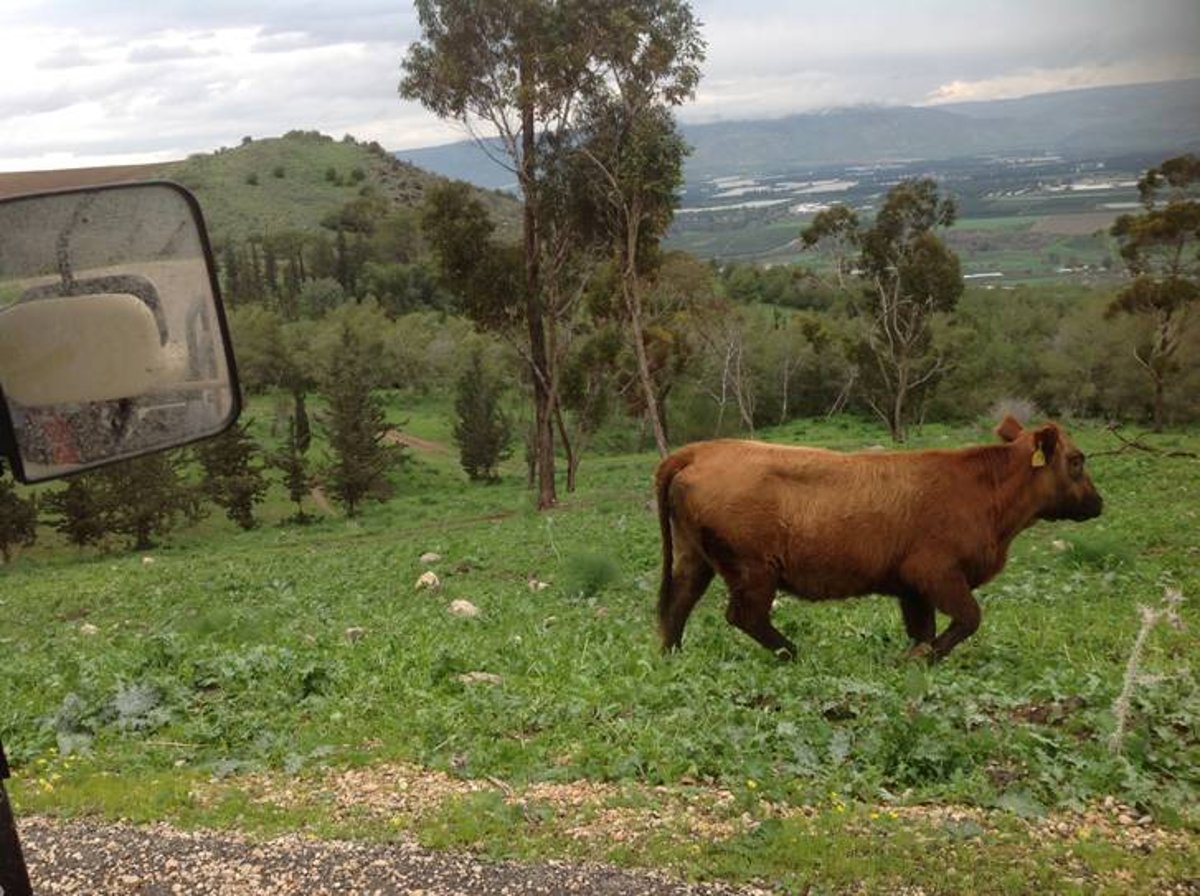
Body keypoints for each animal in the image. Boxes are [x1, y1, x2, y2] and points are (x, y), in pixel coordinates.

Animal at [657, 417, 1104, 662]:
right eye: (1077, 460)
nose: (1098, 503)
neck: (983, 489)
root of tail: (699, 451)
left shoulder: (912, 590)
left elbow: (923, 631)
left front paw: (915, 657)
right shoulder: (936, 573)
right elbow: (968, 618)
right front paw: (921, 661)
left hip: (694, 558)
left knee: (676, 607)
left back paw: (672, 656)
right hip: (752, 570)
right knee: (744, 615)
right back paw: (795, 653)